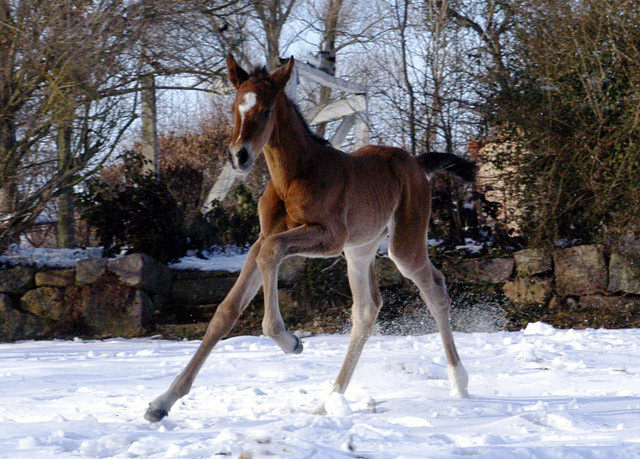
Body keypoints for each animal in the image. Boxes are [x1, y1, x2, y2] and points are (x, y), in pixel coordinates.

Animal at [145, 55, 476, 422]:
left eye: (266, 110)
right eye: (234, 108)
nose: (239, 156)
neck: (293, 177)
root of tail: (417, 164)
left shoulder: (328, 237)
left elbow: (273, 253)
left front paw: (290, 341)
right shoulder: (264, 237)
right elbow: (227, 310)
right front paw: (162, 402)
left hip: (402, 245)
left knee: (435, 288)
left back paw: (459, 381)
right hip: (359, 250)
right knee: (366, 310)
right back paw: (329, 401)